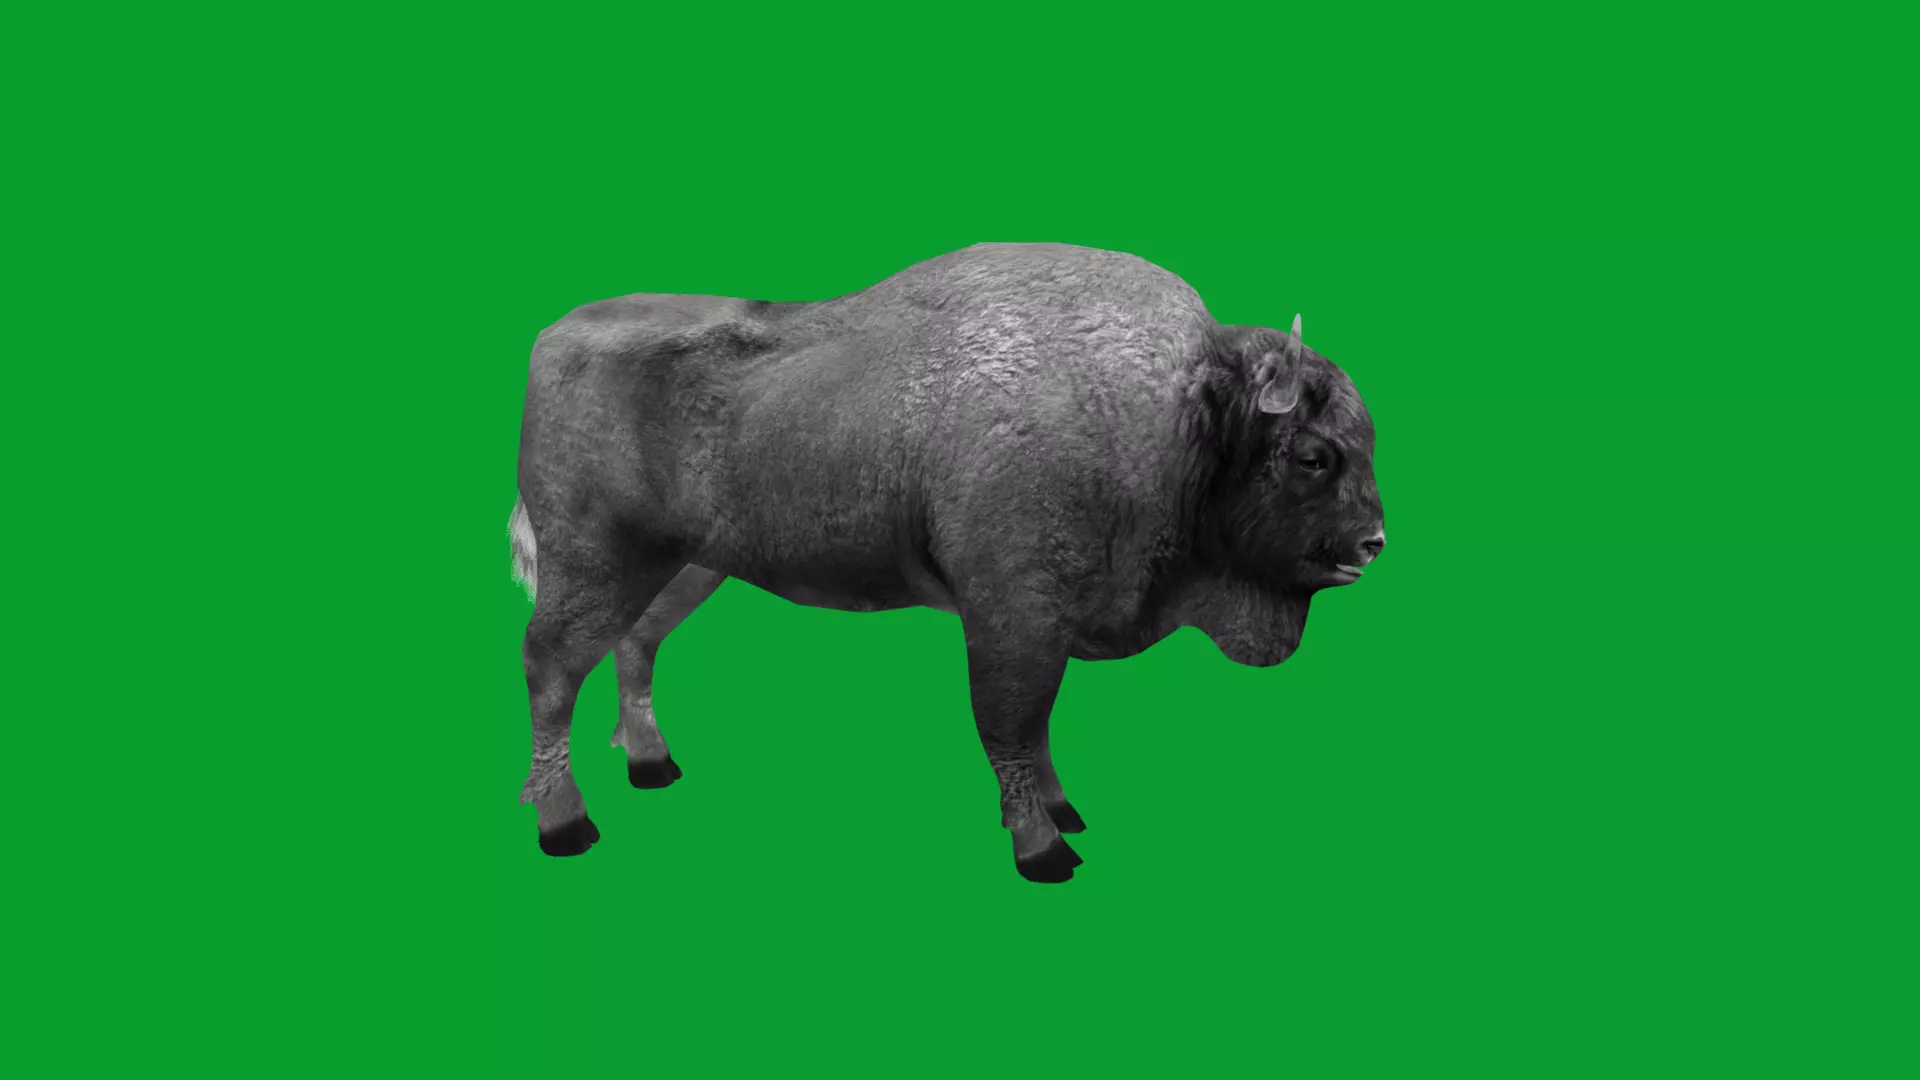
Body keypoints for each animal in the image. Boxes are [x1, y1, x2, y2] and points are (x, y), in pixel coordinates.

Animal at [508, 242, 1386, 883]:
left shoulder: (1044, 625)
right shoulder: (1013, 618)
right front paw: (1044, 850)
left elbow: (1037, 729)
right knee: (551, 666)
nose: (1373, 543)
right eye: (1311, 455)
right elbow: (1011, 725)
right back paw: (566, 825)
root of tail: (552, 335)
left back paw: (653, 766)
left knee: (635, 644)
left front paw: (1063, 813)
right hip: (593, 561)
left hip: (685, 568)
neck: (1183, 418)